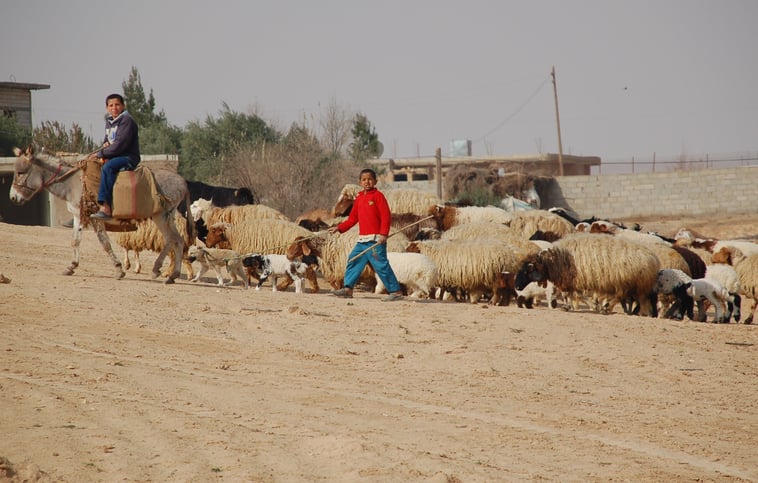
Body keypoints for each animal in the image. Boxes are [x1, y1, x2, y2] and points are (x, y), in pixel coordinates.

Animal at [512, 234, 664, 318]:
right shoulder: (572, 281)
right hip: (635, 285)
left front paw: (592, 306)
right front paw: (571, 306)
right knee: (639, 299)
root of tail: (654, 259)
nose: (517, 286)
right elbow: (573, 295)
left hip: (628, 282)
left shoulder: (573, 279)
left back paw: (607, 308)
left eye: (526, 271)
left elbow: (574, 295)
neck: (554, 261)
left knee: (622, 296)